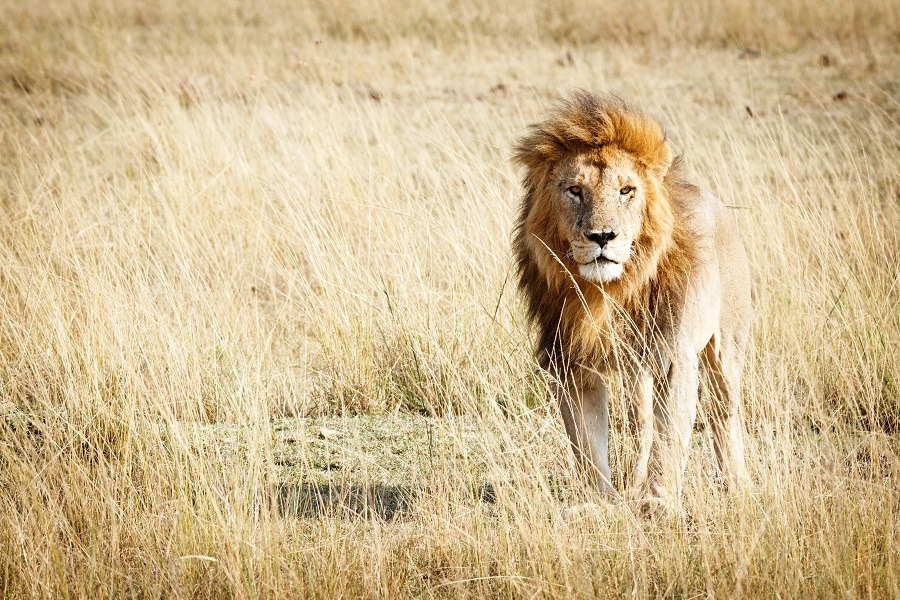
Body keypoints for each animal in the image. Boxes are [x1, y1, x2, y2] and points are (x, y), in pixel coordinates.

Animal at [512, 92, 752, 506]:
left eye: (627, 191)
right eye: (575, 191)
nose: (602, 236)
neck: (606, 292)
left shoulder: (675, 357)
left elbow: (669, 439)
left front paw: (658, 503)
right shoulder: (571, 363)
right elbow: (588, 445)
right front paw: (600, 503)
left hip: (725, 347)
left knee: (724, 414)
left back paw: (736, 485)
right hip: (636, 367)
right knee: (642, 422)